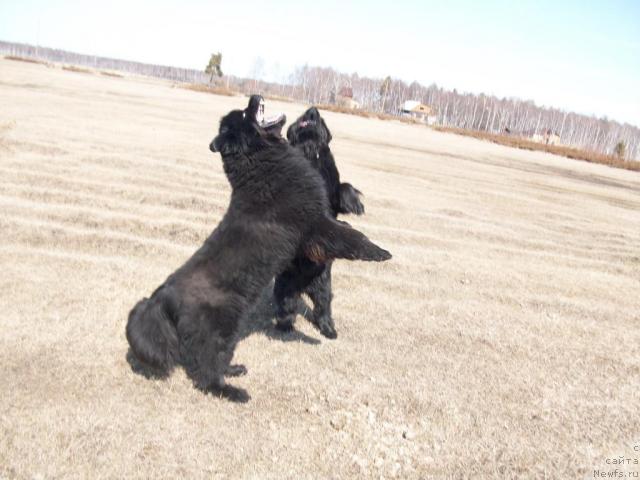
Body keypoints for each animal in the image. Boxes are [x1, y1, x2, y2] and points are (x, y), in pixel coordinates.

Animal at [274, 107, 364, 340]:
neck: (309, 150)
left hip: (324, 288)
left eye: (320, 119)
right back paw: (285, 327)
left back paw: (329, 330)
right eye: (303, 115)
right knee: (286, 307)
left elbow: (344, 188)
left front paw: (357, 205)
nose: (312, 110)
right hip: (286, 285)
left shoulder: (333, 188)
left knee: (322, 309)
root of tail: (305, 286)